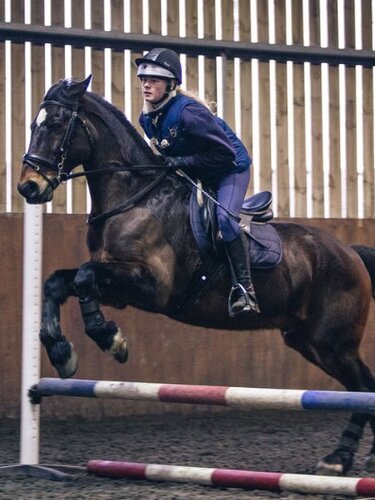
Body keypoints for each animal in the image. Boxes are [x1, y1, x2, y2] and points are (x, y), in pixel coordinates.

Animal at [18, 75, 375, 476]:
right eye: (33, 125)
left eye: (55, 123)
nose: (28, 187)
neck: (134, 198)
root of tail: (351, 253)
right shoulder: (119, 286)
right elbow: (61, 281)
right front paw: (62, 351)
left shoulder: (150, 285)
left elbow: (83, 277)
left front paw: (112, 340)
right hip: (309, 341)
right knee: (363, 385)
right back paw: (361, 457)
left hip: (333, 341)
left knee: (363, 386)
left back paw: (338, 458)